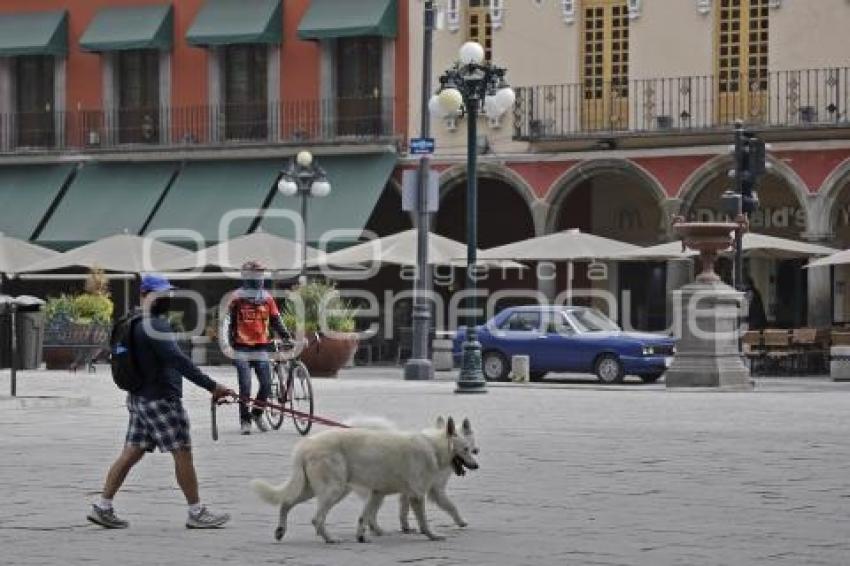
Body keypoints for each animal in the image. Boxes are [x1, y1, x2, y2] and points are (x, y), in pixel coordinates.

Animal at [250, 418, 476, 544]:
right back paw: (330, 539)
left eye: (473, 450)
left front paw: (361, 537)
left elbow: (364, 517)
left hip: (314, 489)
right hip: (334, 490)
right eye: (466, 449)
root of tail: (306, 445)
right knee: (316, 518)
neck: (433, 446)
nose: (476, 466)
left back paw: (281, 531)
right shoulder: (417, 496)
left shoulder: (377, 493)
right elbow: (424, 522)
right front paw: (433, 536)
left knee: (286, 503)